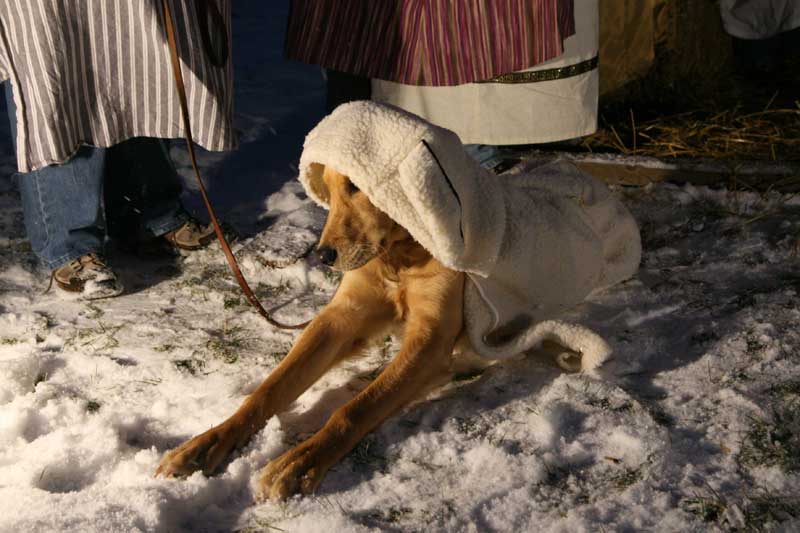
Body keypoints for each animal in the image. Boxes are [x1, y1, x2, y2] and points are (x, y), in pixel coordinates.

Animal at [155, 166, 476, 498]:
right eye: (328, 190)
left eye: (356, 184)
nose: (323, 256)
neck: (400, 258)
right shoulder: (340, 318)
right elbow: (268, 390)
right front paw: (210, 441)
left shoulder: (430, 339)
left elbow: (355, 409)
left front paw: (301, 460)